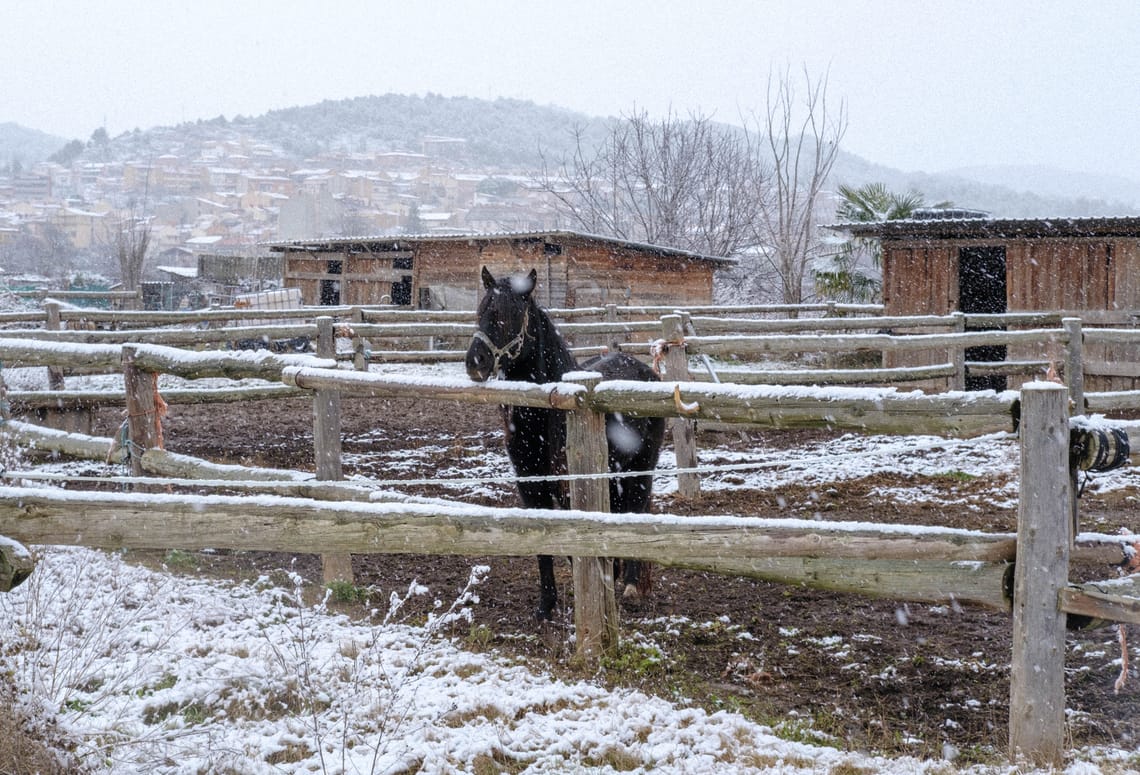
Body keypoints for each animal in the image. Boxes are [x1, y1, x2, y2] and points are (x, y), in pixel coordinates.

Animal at [465, 266, 665, 619]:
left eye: (512, 315)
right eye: (481, 312)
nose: (475, 361)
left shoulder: (572, 486)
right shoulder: (531, 485)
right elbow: (547, 542)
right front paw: (546, 605)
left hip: (642, 465)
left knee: (636, 508)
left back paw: (629, 584)